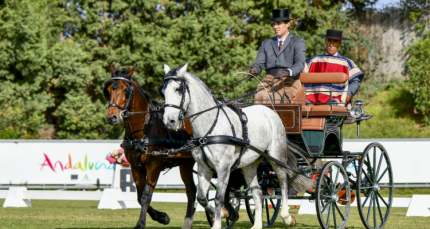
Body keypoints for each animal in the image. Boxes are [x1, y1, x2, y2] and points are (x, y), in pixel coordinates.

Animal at [105, 65, 196, 228]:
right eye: (109, 90)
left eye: (125, 90)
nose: (112, 117)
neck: (144, 128)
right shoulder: (136, 167)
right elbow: (139, 196)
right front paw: (161, 217)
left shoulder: (154, 165)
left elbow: (146, 195)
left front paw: (141, 223)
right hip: (186, 163)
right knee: (192, 190)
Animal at [160, 63, 310, 229]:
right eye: (163, 91)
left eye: (178, 89)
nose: (169, 121)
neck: (209, 127)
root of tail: (270, 110)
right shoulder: (203, 167)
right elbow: (202, 198)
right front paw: (227, 213)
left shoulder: (223, 167)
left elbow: (219, 197)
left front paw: (218, 222)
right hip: (250, 165)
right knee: (258, 193)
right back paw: (257, 225)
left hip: (276, 157)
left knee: (283, 183)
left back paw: (287, 217)